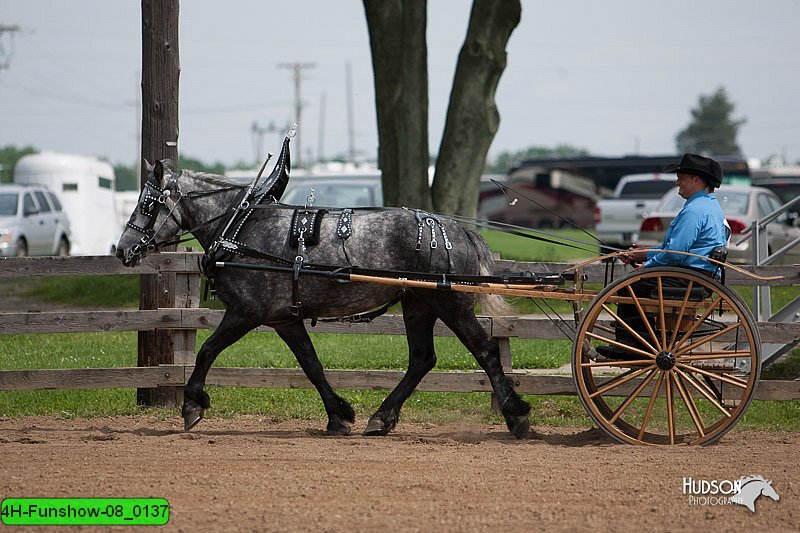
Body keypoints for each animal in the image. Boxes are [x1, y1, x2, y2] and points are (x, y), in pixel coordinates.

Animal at [115, 153, 532, 436]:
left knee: (485, 350)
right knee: (421, 359)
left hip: (451, 304)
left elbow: (206, 350)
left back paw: (516, 414)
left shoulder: (246, 313)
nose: (122, 249)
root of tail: (456, 230)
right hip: (418, 305)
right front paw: (338, 415)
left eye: (147, 204)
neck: (240, 227)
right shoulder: (284, 318)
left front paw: (191, 404)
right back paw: (381, 418)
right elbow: (311, 364)